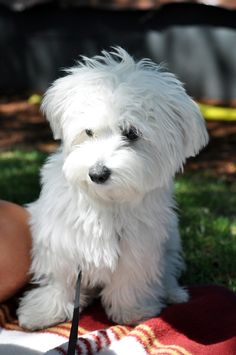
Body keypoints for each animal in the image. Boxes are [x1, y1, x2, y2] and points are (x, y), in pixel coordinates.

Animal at [17, 47, 208, 330]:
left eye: (132, 134)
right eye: (88, 132)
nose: (97, 173)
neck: (106, 200)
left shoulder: (138, 246)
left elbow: (130, 279)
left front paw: (133, 310)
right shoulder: (63, 241)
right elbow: (60, 280)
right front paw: (43, 311)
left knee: (167, 272)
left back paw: (172, 293)